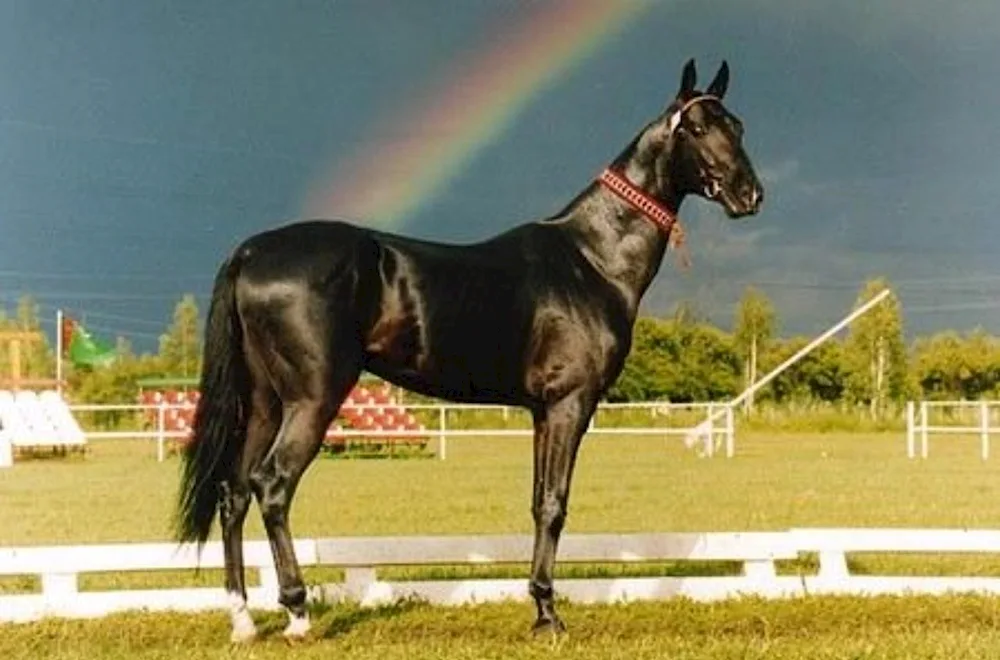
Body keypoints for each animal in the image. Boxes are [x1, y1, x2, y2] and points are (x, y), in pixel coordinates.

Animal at [174, 59, 764, 640]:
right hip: (311, 401)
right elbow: (555, 504)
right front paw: (549, 616)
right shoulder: (569, 403)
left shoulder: (541, 411)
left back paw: (243, 620)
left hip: (264, 403)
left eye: (737, 126)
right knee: (272, 486)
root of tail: (251, 252)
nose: (750, 195)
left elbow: (537, 502)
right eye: (695, 128)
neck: (591, 259)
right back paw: (297, 614)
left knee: (234, 492)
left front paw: (539, 607)